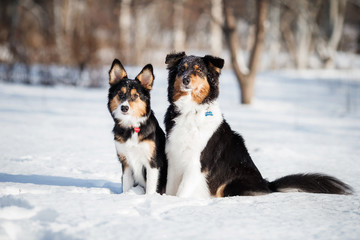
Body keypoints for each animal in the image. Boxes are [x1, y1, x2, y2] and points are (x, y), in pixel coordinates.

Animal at [107, 59, 168, 194]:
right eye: (120, 94)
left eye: (135, 96)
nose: (124, 108)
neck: (132, 127)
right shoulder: (126, 162)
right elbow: (126, 186)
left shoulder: (152, 163)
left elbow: (150, 188)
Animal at [164, 52, 352, 199]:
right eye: (182, 69)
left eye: (199, 70)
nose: (186, 79)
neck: (190, 111)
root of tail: (267, 185)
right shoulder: (174, 159)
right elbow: (170, 189)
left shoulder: (197, 163)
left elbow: (182, 192)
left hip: (230, 185)